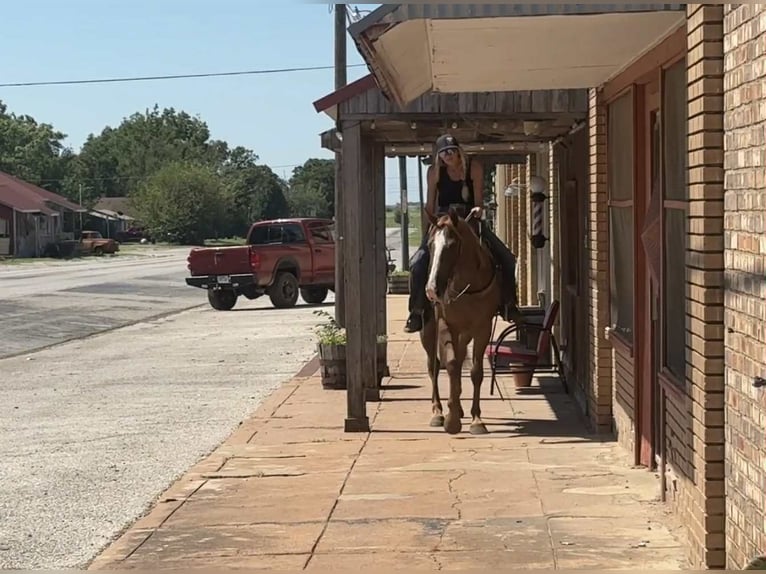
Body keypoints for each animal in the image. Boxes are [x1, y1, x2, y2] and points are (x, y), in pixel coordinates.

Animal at [419, 207, 502, 435]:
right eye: (431, 244)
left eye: (451, 245)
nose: (431, 290)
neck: (468, 287)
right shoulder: (446, 325)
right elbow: (451, 365)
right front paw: (451, 420)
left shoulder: (482, 328)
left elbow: (475, 372)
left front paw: (476, 420)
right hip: (428, 331)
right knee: (433, 366)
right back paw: (438, 412)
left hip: (464, 335)